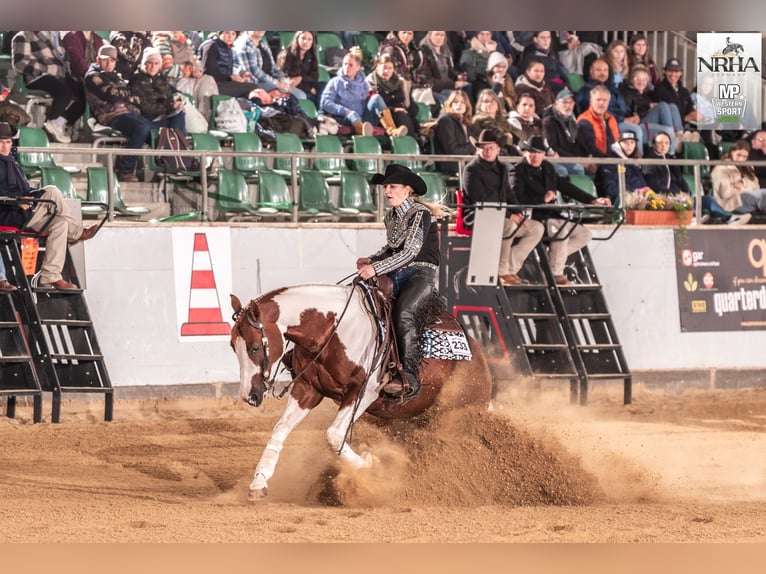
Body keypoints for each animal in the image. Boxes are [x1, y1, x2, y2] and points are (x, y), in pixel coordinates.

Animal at [230, 282, 493, 501]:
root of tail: (478, 354)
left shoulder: (362, 392)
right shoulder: (307, 389)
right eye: (233, 346)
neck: (333, 330)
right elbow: (281, 429)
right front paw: (258, 482)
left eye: (254, 347)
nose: (248, 396)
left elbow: (334, 435)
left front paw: (373, 467)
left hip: (462, 408)